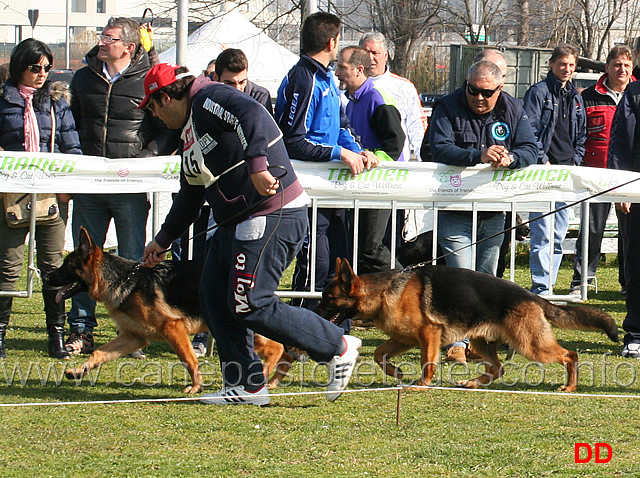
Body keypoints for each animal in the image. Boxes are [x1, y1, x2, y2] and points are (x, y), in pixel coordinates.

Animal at [46, 227, 292, 392]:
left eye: (67, 267)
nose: (46, 277)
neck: (124, 279)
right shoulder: (133, 337)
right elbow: (98, 353)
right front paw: (79, 371)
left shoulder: (172, 328)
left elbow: (188, 359)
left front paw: (196, 387)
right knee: (282, 349)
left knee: (277, 347)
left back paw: (263, 375)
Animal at [318, 258, 616, 392]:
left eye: (327, 299)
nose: (314, 313)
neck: (383, 291)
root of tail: (531, 296)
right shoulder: (406, 338)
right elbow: (380, 354)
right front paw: (396, 372)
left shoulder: (428, 334)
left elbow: (427, 362)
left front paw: (421, 384)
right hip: (481, 342)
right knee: (497, 368)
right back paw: (473, 382)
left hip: (530, 345)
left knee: (570, 354)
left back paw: (570, 387)